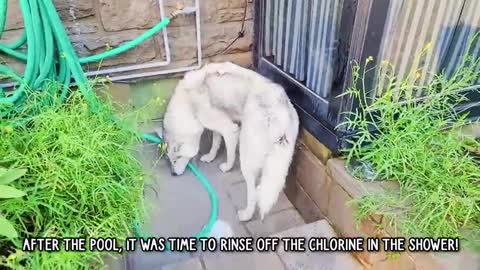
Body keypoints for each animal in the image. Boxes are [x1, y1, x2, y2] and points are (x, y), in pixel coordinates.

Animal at [159, 63, 298, 221]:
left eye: (176, 160)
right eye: (170, 161)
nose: (173, 174)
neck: (187, 103)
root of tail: (279, 114)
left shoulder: (230, 130)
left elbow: (229, 152)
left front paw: (227, 167)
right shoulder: (217, 126)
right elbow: (215, 142)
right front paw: (210, 157)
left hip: (246, 157)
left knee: (254, 191)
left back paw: (246, 214)